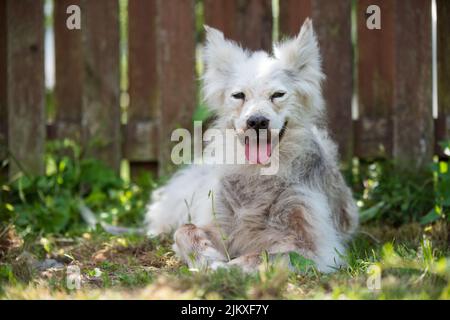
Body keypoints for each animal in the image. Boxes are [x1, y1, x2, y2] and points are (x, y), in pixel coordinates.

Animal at [146, 18, 360, 272]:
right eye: (239, 95)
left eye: (278, 94)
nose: (257, 121)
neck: (258, 174)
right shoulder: (218, 223)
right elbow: (185, 231)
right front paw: (207, 257)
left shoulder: (314, 247)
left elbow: (262, 256)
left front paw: (225, 269)